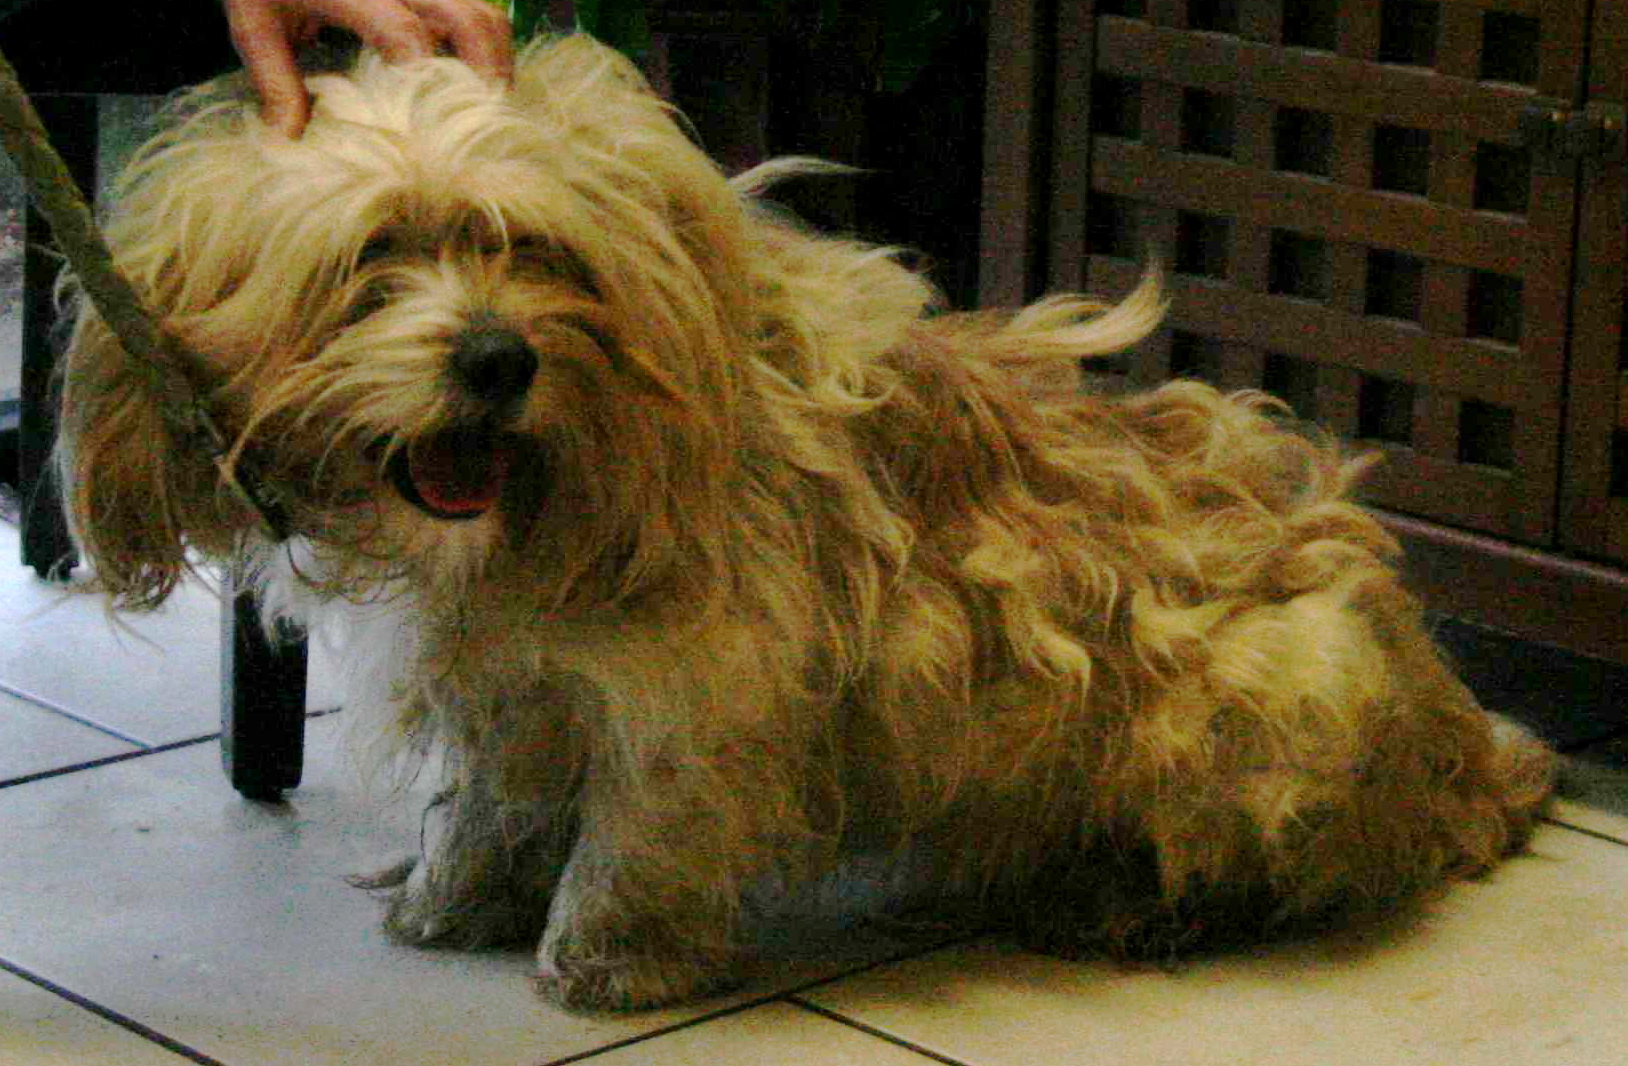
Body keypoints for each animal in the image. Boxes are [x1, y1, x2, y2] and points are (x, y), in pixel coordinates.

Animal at [58, 34, 1555, 1011]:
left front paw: (603, 955)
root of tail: (1461, 752)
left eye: (536, 254)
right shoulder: (518, 684)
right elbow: (488, 801)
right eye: (376, 257)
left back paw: (1130, 896)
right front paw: (452, 896)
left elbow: (646, 824)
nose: (495, 358)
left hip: (1276, 682)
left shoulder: (704, 686)